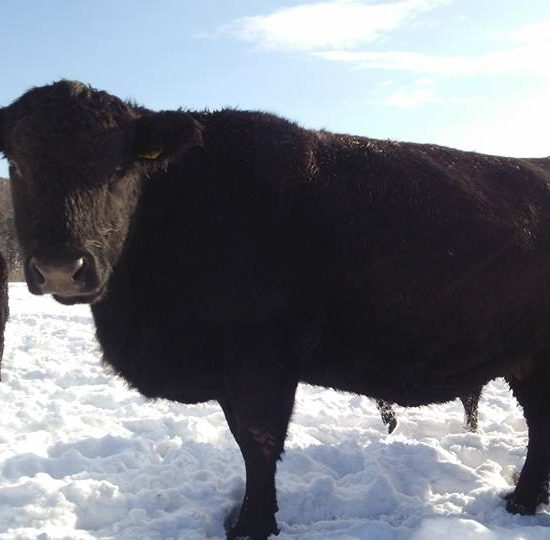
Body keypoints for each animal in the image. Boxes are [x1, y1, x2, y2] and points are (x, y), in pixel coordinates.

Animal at [1, 81, 550, 540]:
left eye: (120, 166)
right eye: (18, 164)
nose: (60, 268)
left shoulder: (261, 359)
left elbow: (259, 442)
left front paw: (252, 525)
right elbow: (244, 439)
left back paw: (521, 502)